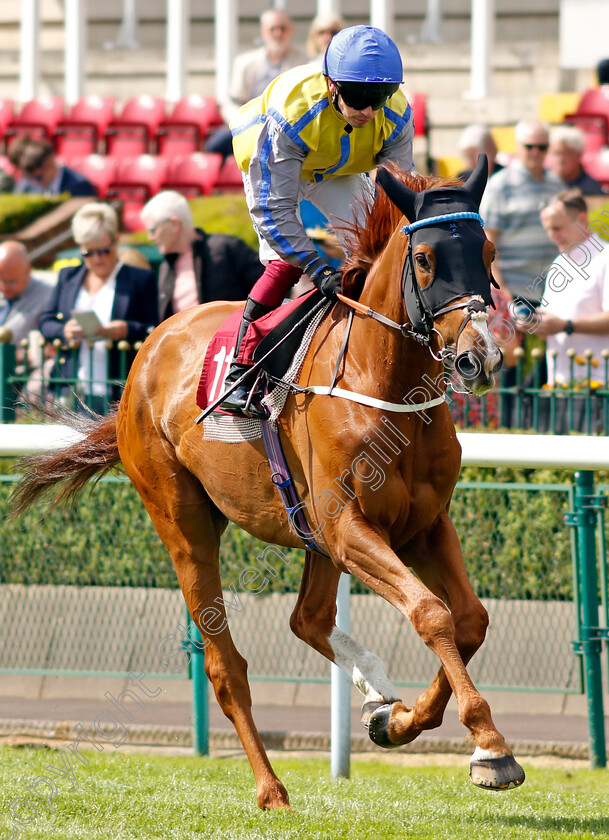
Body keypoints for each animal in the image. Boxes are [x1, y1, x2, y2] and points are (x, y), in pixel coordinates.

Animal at [9, 156, 524, 808]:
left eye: (487, 251)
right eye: (427, 258)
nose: (480, 357)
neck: (383, 387)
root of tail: (148, 347)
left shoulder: (421, 525)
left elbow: (469, 619)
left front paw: (404, 720)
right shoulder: (348, 525)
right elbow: (432, 614)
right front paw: (490, 747)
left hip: (312, 537)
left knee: (308, 618)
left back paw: (377, 694)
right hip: (184, 520)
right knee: (226, 665)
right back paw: (271, 787)